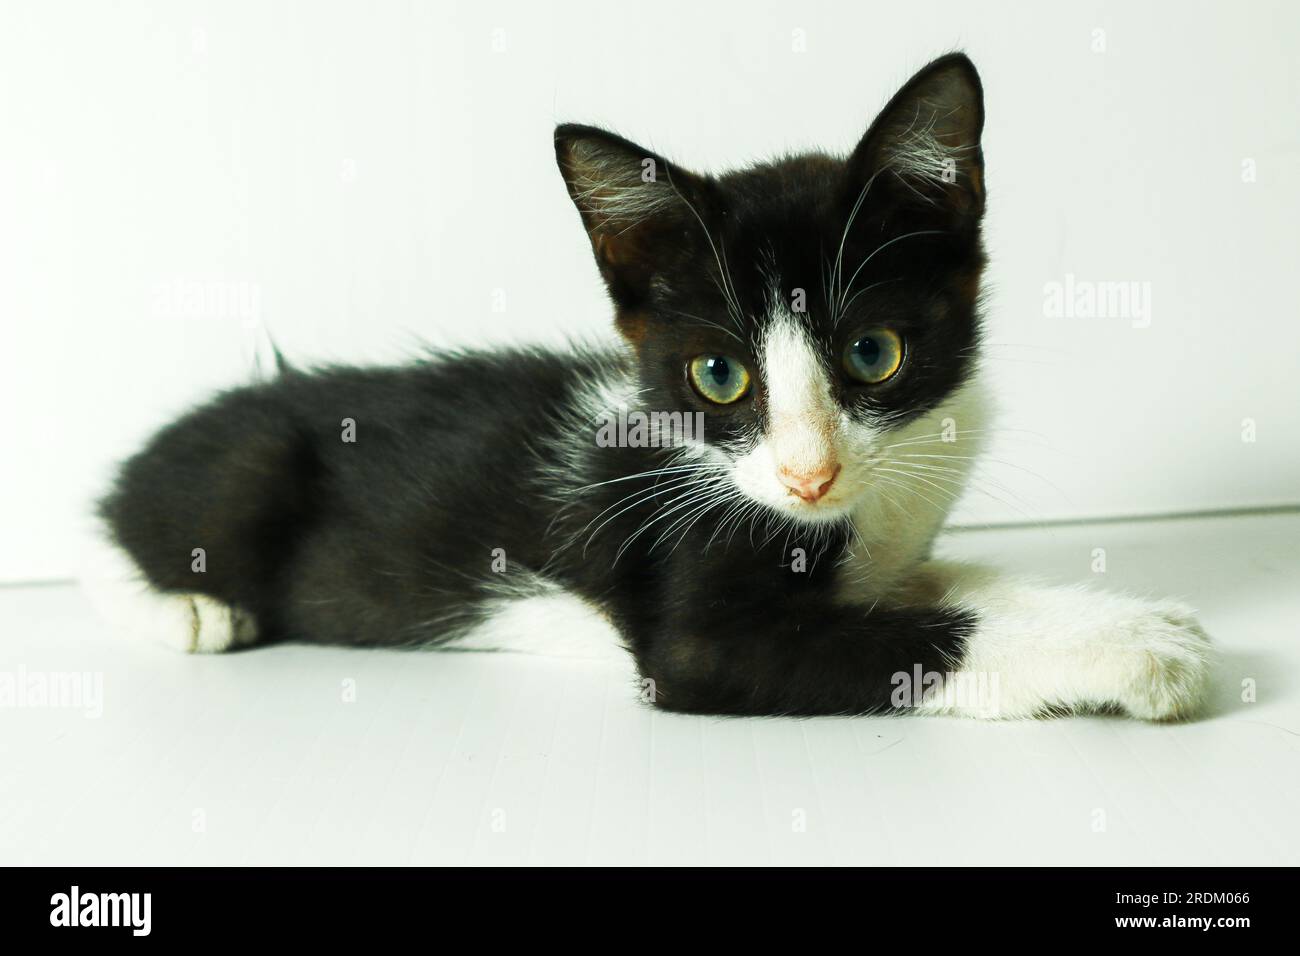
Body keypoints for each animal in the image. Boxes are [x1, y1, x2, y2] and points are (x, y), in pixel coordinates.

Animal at [89, 54, 1206, 717]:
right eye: (719, 373)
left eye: (872, 354)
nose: (807, 476)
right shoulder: (693, 627)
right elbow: (897, 637)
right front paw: (1131, 648)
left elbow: (931, 582)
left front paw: (1110, 609)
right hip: (242, 467)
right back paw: (188, 610)